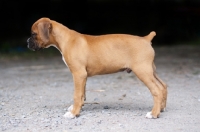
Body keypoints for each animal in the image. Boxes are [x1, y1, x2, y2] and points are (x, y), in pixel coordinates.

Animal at [26, 17, 167, 118]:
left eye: (33, 34)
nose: (27, 42)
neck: (65, 39)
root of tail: (146, 39)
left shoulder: (78, 74)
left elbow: (77, 94)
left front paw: (73, 113)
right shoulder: (83, 76)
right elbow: (82, 94)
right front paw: (78, 108)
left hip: (143, 72)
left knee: (156, 90)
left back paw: (153, 114)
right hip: (151, 71)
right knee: (163, 86)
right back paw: (161, 108)